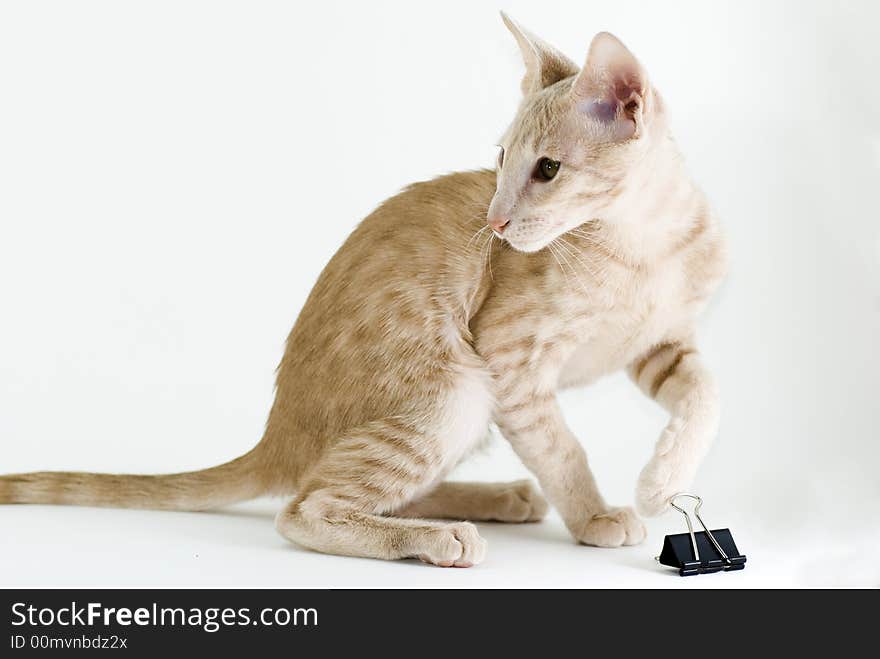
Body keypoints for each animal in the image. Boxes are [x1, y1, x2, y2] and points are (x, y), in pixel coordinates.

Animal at [0, 15, 728, 568]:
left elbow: (705, 393)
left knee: (361, 487)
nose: (495, 222)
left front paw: (665, 476)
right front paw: (596, 514)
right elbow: (561, 446)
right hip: (457, 387)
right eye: (499, 161)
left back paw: (495, 498)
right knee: (307, 504)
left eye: (547, 169)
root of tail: (278, 435)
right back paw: (441, 537)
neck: (644, 247)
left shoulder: (663, 345)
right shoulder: (509, 359)